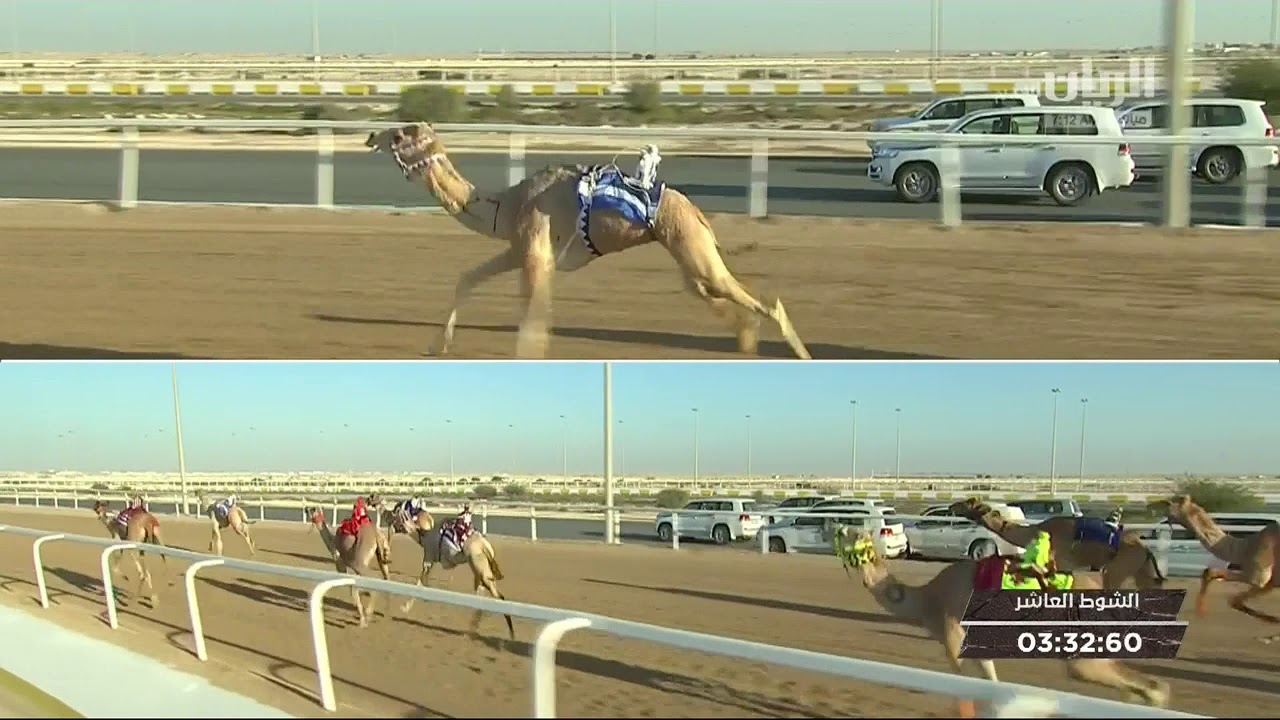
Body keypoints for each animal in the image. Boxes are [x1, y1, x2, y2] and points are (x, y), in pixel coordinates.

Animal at [364, 123, 810, 360]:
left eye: (400, 134)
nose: (371, 135)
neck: (505, 205)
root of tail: (695, 209)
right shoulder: (516, 248)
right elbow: (468, 278)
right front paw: (438, 344)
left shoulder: (535, 251)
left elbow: (533, 313)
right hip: (689, 255)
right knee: (714, 292)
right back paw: (748, 339)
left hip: (690, 244)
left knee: (762, 301)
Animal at [834, 528, 1169, 718]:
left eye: (851, 536)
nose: (836, 528)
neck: (929, 599)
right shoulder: (977, 646)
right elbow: (993, 686)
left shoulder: (954, 640)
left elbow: (965, 694)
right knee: (1149, 685)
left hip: (1080, 648)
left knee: (1143, 684)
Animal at [949, 498, 1164, 590]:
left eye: (966, 503)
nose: (951, 506)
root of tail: (1145, 547)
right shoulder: (1063, 567)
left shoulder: (1060, 563)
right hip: (1139, 568)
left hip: (1119, 568)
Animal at [1159, 494, 1280, 625]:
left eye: (1172, 507)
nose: (1165, 514)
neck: (1243, 548)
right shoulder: (1272, 583)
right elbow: (1233, 599)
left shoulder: (1259, 577)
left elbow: (1216, 578)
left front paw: (1201, 610)